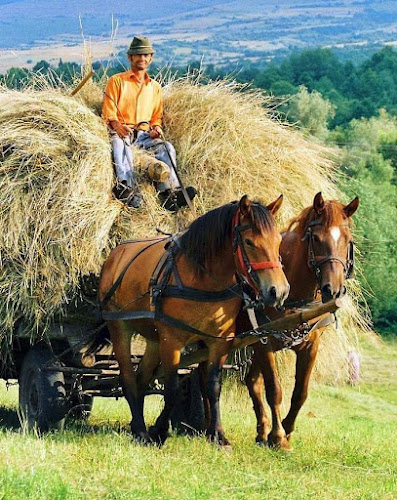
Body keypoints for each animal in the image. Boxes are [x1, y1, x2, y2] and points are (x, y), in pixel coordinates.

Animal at [98, 194, 288, 446]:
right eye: (249, 242)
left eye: (278, 240)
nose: (279, 291)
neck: (203, 280)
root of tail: (116, 253)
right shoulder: (171, 340)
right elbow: (172, 388)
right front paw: (160, 430)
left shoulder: (219, 340)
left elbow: (213, 386)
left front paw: (217, 434)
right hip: (120, 327)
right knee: (128, 379)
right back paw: (140, 429)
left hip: (153, 339)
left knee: (140, 380)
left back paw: (137, 427)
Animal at [246, 191, 358, 450]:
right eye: (316, 238)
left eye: (347, 239)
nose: (333, 290)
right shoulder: (264, 341)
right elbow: (274, 390)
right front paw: (278, 437)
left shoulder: (311, 345)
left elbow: (300, 393)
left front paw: (286, 431)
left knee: (252, 381)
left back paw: (261, 431)